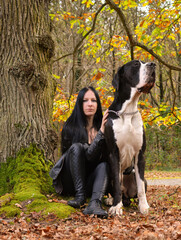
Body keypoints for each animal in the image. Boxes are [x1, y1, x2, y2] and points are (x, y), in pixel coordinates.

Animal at [104, 59, 156, 216]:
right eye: (135, 65)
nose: (153, 64)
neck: (128, 110)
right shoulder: (113, 153)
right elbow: (116, 183)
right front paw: (116, 206)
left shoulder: (140, 154)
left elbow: (140, 187)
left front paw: (144, 206)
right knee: (116, 188)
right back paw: (113, 200)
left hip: (138, 177)